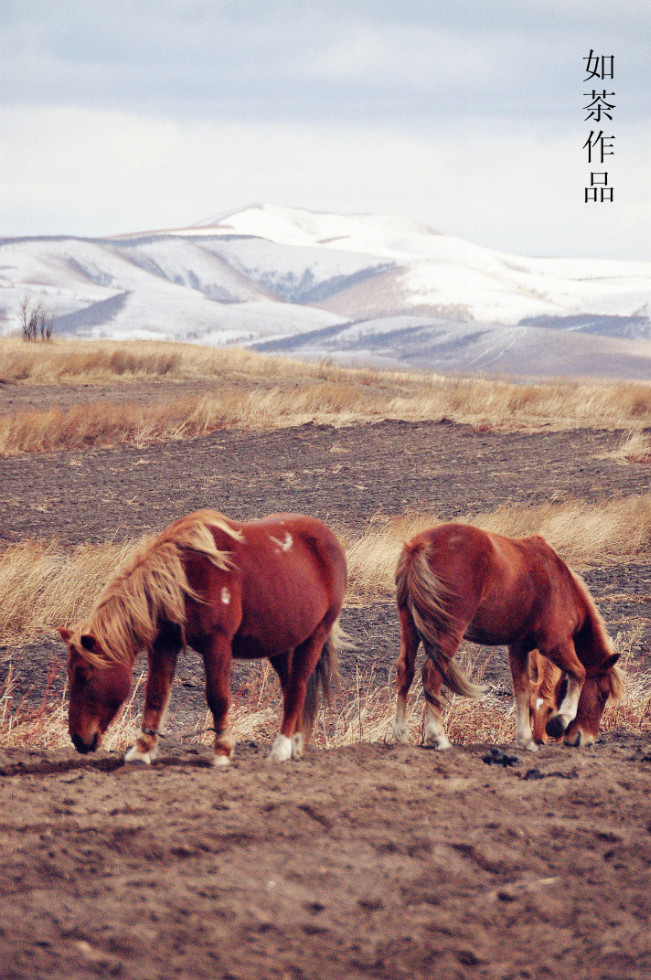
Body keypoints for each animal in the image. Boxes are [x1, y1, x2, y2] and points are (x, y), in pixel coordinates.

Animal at [58, 510, 348, 768]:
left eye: (83, 674)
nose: (78, 740)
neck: (185, 576)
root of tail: (328, 538)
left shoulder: (217, 645)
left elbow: (217, 698)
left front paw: (222, 752)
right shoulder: (164, 645)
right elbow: (156, 695)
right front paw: (142, 751)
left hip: (315, 636)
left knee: (297, 687)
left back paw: (281, 749)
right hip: (280, 644)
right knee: (291, 689)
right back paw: (294, 747)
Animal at [392, 524, 620, 756]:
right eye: (603, 695)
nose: (586, 740)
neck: (560, 583)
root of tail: (420, 545)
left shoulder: (519, 648)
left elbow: (523, 690)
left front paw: (525, 740)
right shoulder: (555, 644)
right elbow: (579, 672)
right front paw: (561, 720)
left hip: (409, 625)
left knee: (405, 671)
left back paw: (401, 735)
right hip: (448, 633)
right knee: (431, 676)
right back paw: (437, 737)